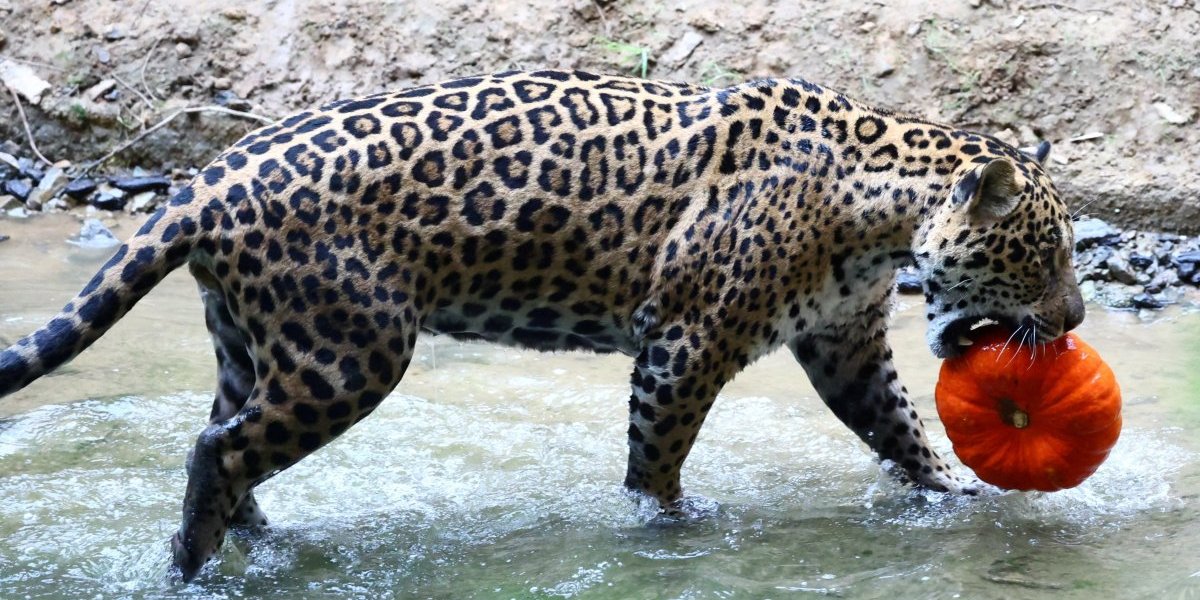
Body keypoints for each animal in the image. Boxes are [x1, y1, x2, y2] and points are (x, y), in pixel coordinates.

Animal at [0, 69, 1084, 581]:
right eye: (1040, 256)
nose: (1075, 314)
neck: (878, 211)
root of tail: (206, 178)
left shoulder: (843, 341)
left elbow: (900, 431)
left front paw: (955, 497)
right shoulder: (686, 339)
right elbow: (657, 460)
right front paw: (669, 532)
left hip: (260, 341)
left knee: (226, 436)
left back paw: (258, 545)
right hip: (349, 353)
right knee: (218, 448)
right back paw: (192, 570)